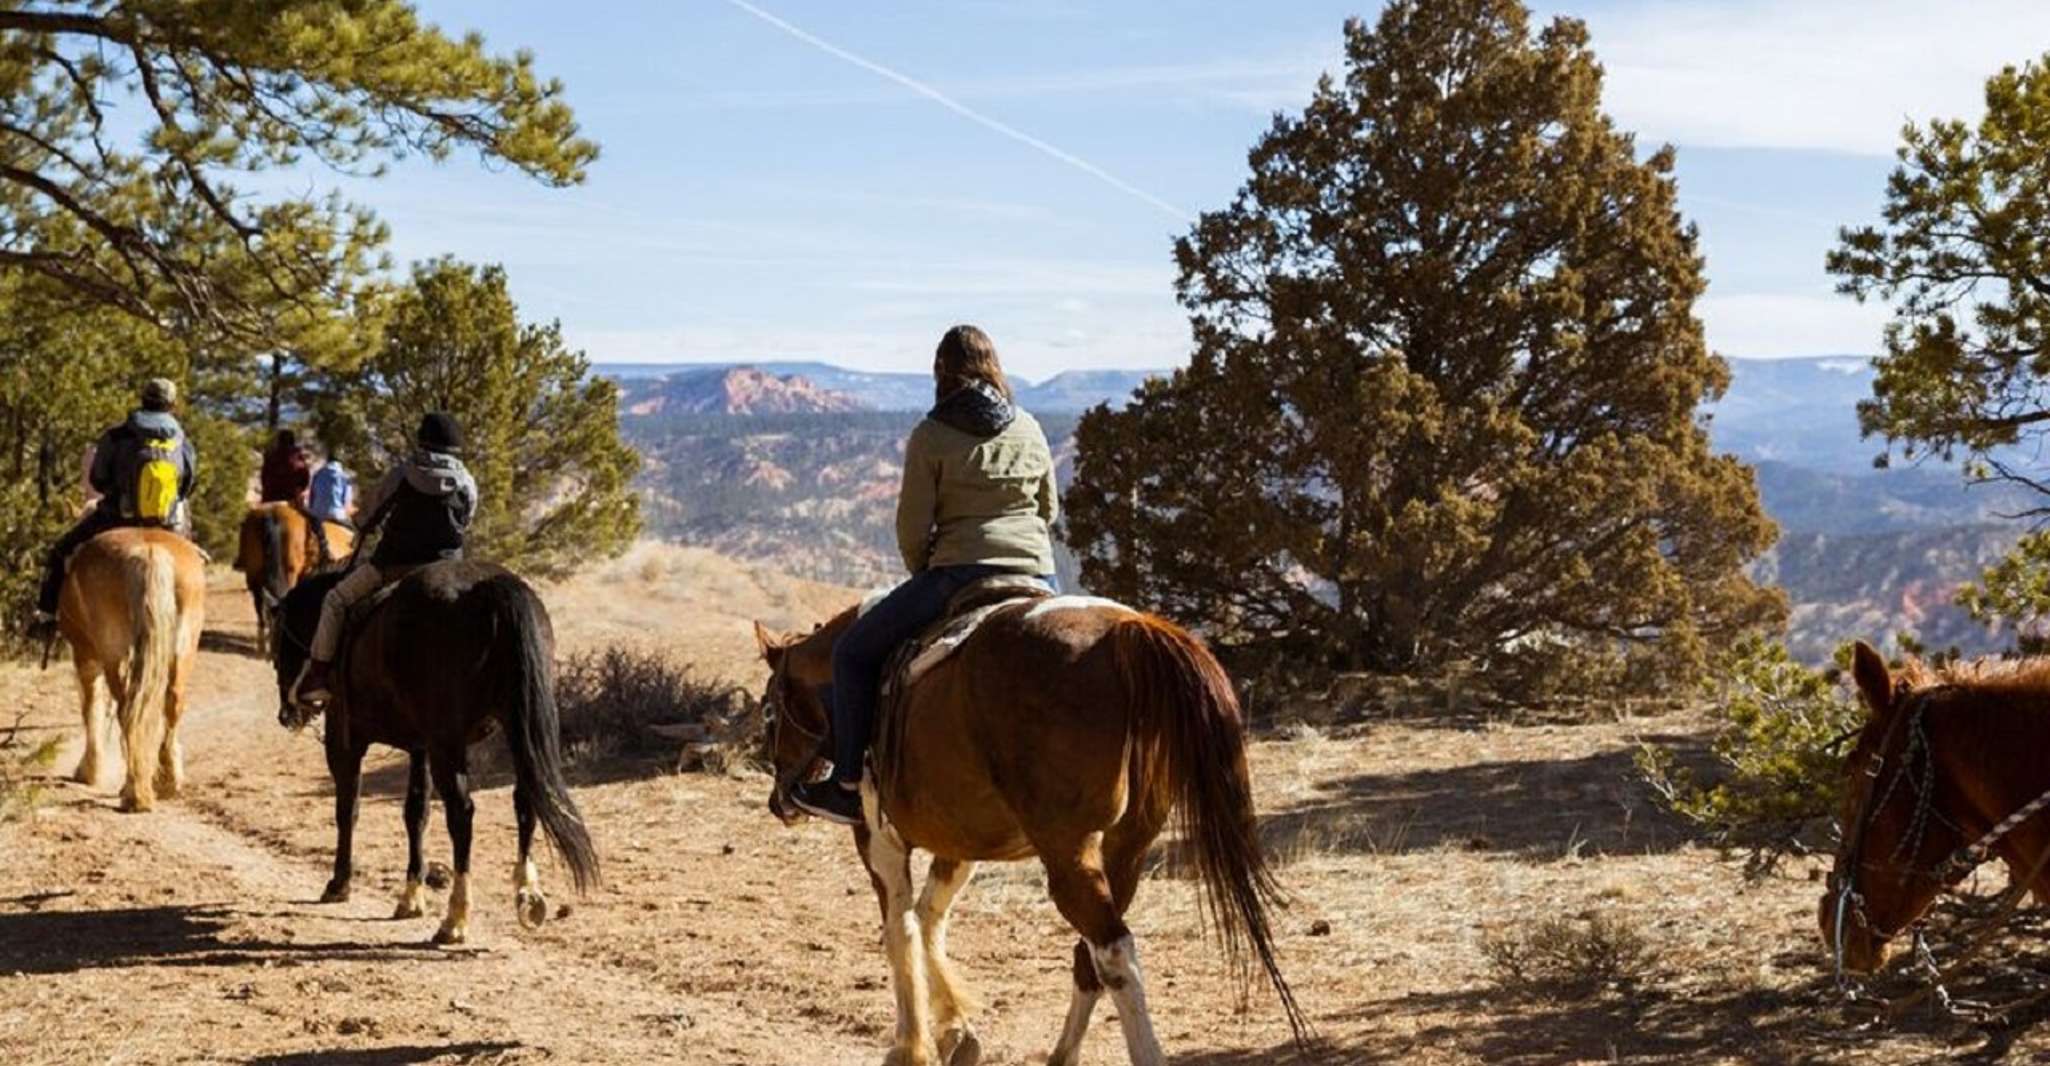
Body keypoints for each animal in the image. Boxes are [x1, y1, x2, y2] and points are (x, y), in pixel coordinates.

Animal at [59, 528, 208, 811]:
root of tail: (149, 553)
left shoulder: (85, 655)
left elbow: (91, 708)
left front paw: (88, 771)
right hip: (183, 650)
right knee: (172, 703)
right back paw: (167, 782)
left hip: (111, 654)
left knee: (125, 710)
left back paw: (133, 792)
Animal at [758, 598, 1312, 1066]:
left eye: (770, 713)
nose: (779, 801)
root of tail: (1127, 631)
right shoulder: (961, 846)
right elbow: (930, 917)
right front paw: (955, 1030)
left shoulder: (878, 840)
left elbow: (901, 928)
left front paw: (911, 1046)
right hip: (1126, 848)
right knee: (1092, 957)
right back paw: (1061, 1055)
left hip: (1067, 851)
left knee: (1113, 951)